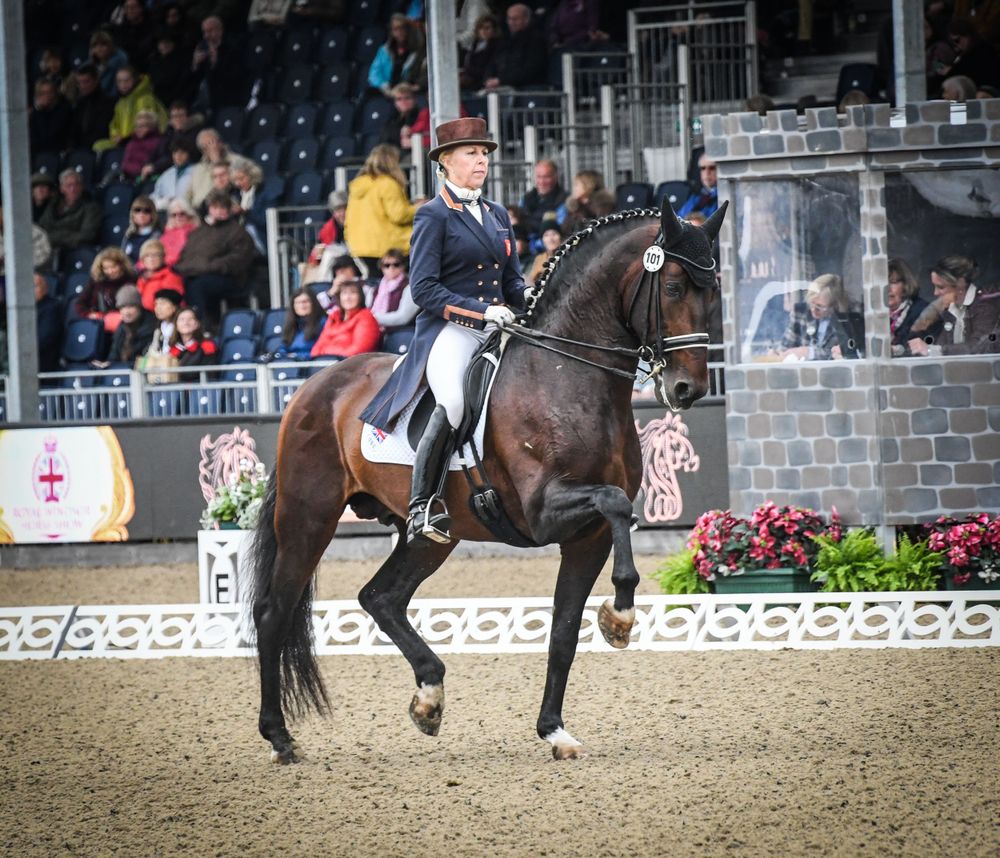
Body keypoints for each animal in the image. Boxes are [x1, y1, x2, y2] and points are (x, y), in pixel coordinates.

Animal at [247, 200, 728, 762]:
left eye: (713, 289)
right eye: (672, 287)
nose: (688, 388)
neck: (564, 375)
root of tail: (311, 388)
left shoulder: (586, 537)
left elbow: (564, 630)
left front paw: (554, 729)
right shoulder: (544, 512)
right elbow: (613, 504)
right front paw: (619, 619)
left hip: (434, 535)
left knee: (380, 597)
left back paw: (428, 698)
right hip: (308, 518)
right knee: (274, 613)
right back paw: (280, 737)